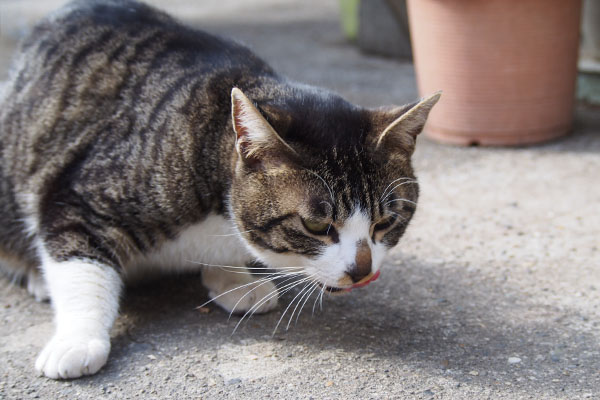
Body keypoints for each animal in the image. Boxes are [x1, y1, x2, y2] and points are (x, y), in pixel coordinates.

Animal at [0, 0, 440, 378]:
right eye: (316, 226)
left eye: (386, 222)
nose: (362, 271)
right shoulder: (84, 196)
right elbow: (81, 268)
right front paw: (77, 341)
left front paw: (234, 280)